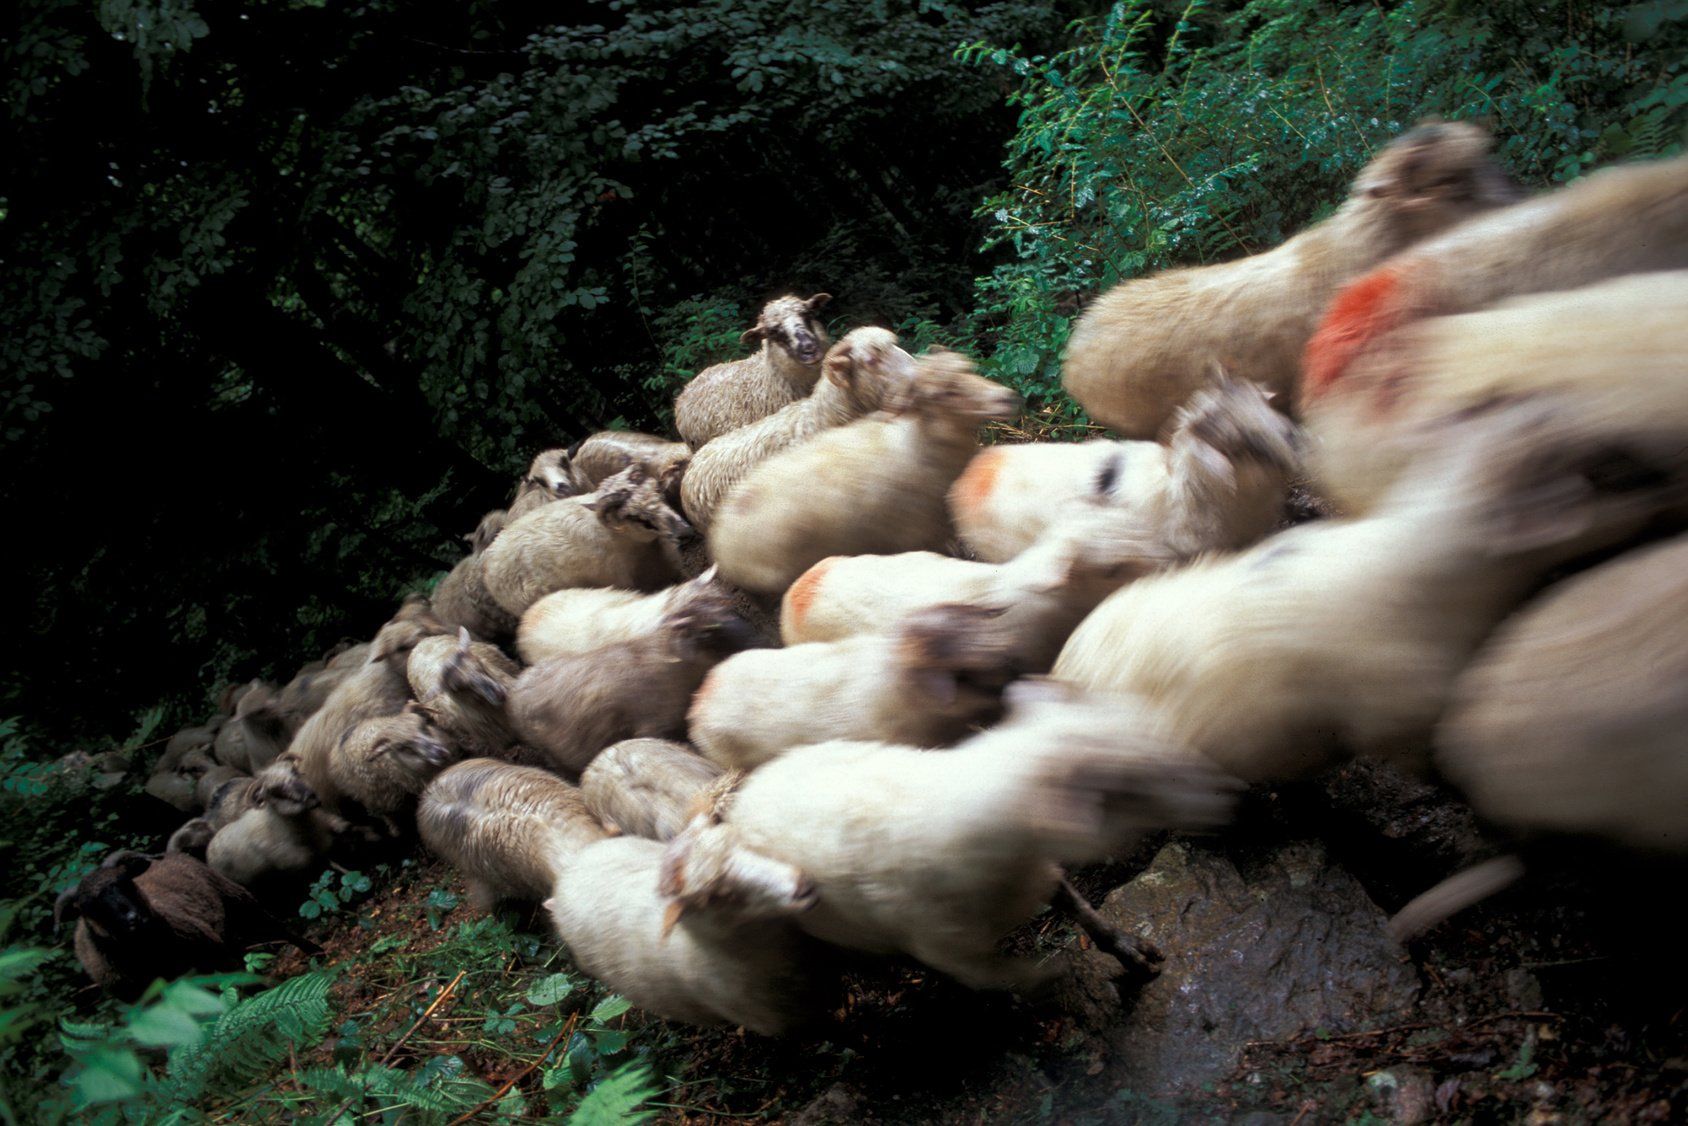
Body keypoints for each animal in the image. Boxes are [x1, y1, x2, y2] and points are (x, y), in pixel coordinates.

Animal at [54, 851, 316, 999]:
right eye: (88, 906)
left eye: (125, 881)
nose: (135, 918)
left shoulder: (213, 949)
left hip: (235, 897)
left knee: (278, 928)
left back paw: (315, 953)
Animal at [671, 681, 1237, 991]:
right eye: (1127, 787)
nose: (1229, 792)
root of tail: (741, 796)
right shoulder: (952, 952)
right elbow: (1014, 977)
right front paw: (1058, 976)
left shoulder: (1043, 876)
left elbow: (1082, 910)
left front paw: (1130, 951)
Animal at [710, 350, 1022, 594]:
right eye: (944, 392)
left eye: (969, 368)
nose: (1007, 398)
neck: (916, 443)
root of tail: (720, 536)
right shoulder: (918, 533)